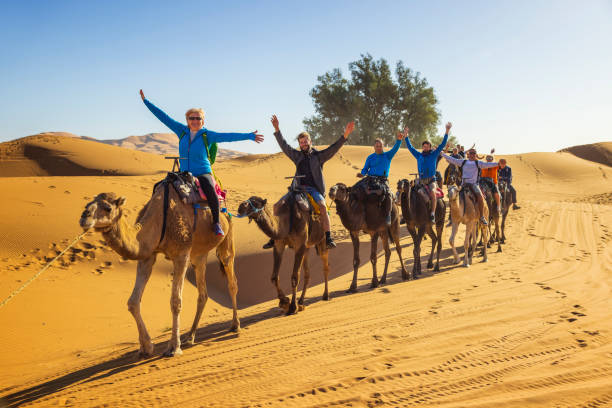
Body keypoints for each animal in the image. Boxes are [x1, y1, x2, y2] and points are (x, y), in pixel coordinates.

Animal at [80, 186, 241, 358]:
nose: (84, 217)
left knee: (231, 279)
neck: (158, 221)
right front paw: (146, 347)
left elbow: (176, 301)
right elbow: (133, 302)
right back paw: (190, 337)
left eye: (108, 208)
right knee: (203, 293)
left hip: (227, 236)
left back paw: (235, 325)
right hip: (198, 254)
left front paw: (173, 348)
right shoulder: (148, 255)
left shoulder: (181, 253)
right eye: (88, 204)